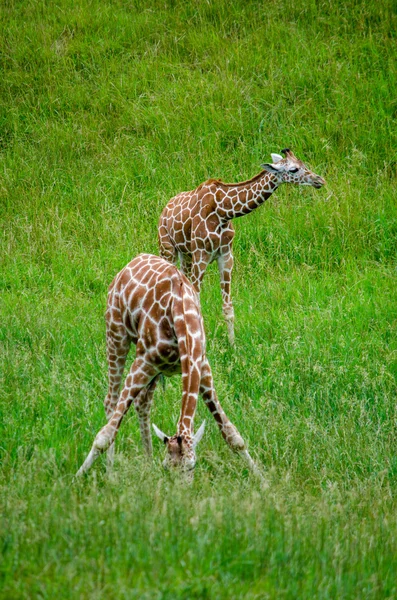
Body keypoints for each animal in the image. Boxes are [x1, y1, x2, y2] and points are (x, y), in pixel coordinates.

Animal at [76, 253, 256, 478]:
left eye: (192, 466)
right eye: (166, 467)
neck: (183, 323)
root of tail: (132, 262)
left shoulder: (202, 368)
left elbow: (233, 435)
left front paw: (263, 479)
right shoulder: (143, 362)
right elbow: (105, 435)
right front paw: (76, 479)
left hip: (153, 368)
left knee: (143, 402)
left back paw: (147, 462)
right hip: (116, 335)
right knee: (111, 401)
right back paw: (111, 472)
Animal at [158, 146, 324, 342]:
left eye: (302, 163)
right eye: (293, 169)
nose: (319, 180)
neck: (223, 211)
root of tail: (165, 209)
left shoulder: (226, 256)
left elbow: (228, 307)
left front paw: (232, 344)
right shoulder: (201, 255)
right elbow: (196, 302)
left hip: (186, 255)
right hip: (168, 249)